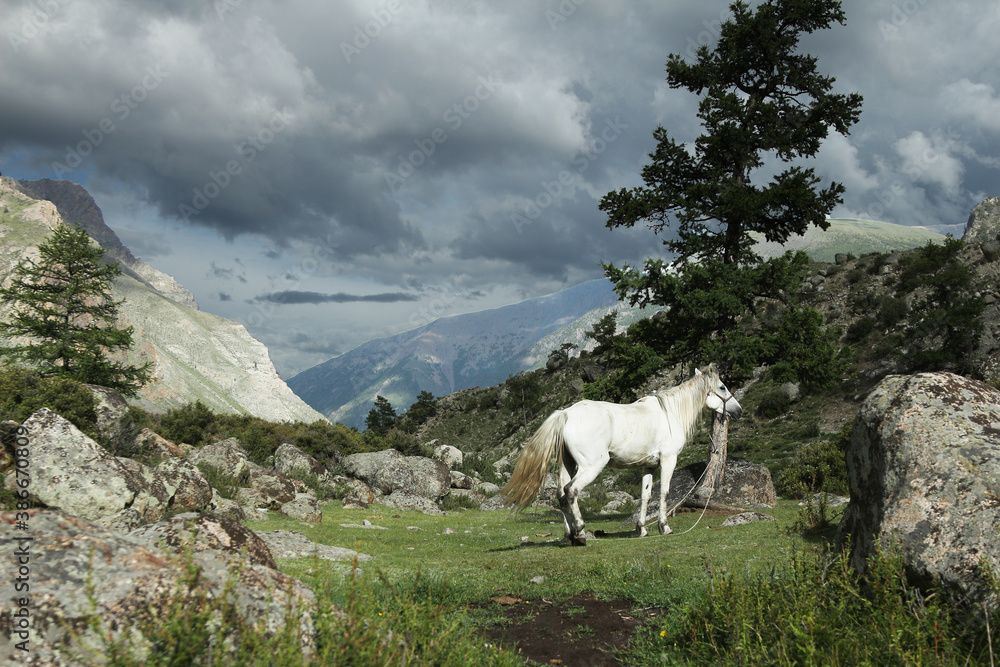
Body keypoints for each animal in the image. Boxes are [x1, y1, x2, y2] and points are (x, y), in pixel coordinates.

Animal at [500, 366, 744, 548]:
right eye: (722, 386)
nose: (738, 410)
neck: (670, 413)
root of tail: (566, 414)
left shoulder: (648, 466)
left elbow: (646, 496)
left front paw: (642, 529)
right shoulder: (668, 460)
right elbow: (664, 493)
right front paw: (664, 527)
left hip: (568, 465)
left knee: (560, 495)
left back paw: (569, 535)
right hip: (591, 467)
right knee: (571, 491)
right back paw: (580, 533)